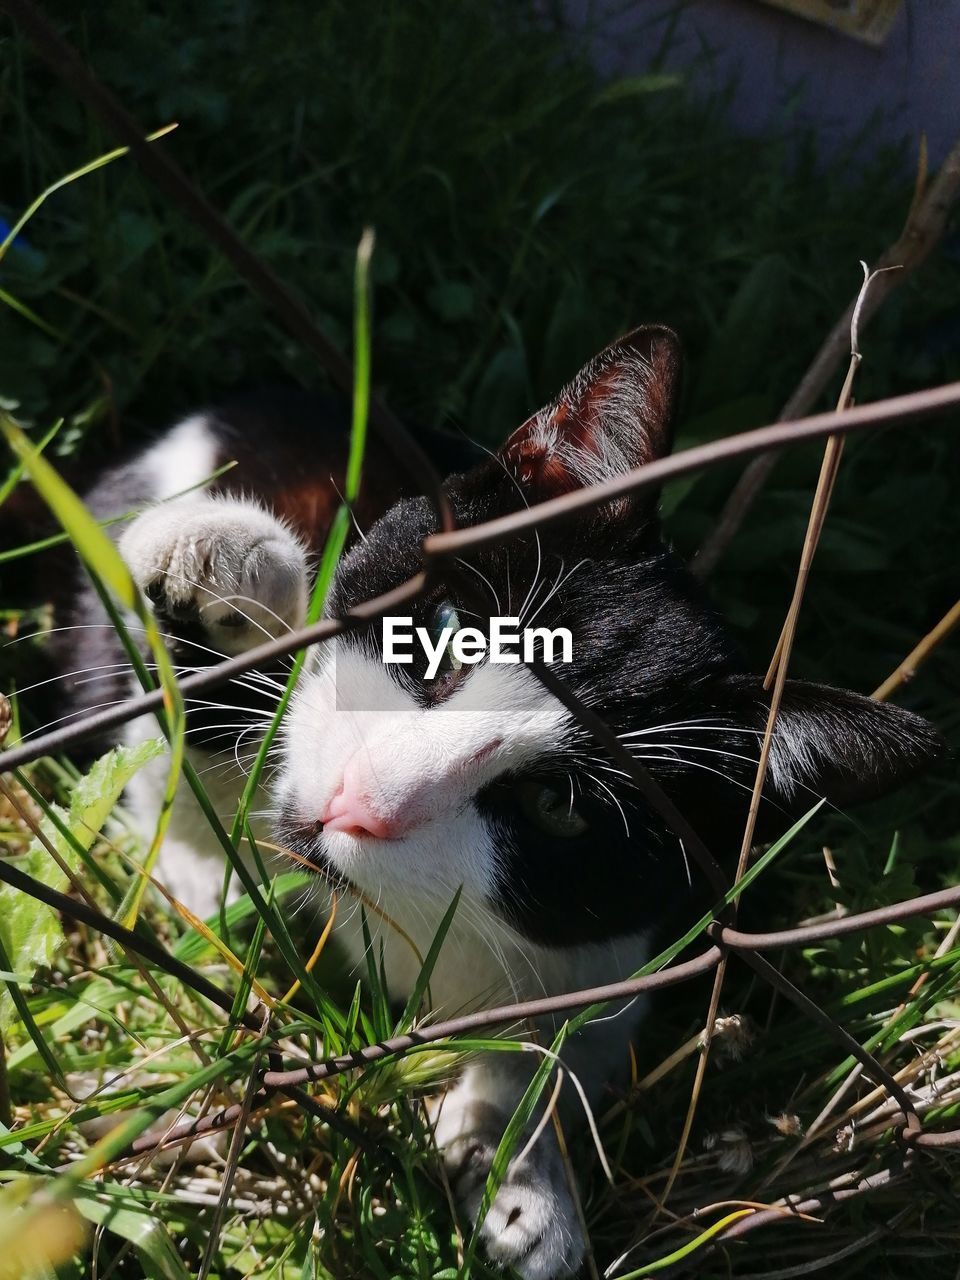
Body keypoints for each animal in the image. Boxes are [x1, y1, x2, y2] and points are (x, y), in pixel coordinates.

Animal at [50, 327, 942, 1280]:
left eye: (557, 806)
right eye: (445, 631)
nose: (361, 802)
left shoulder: (622, 939)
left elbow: (566, 1038)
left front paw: (519, 1173)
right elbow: (202, 707)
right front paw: (221, 561)